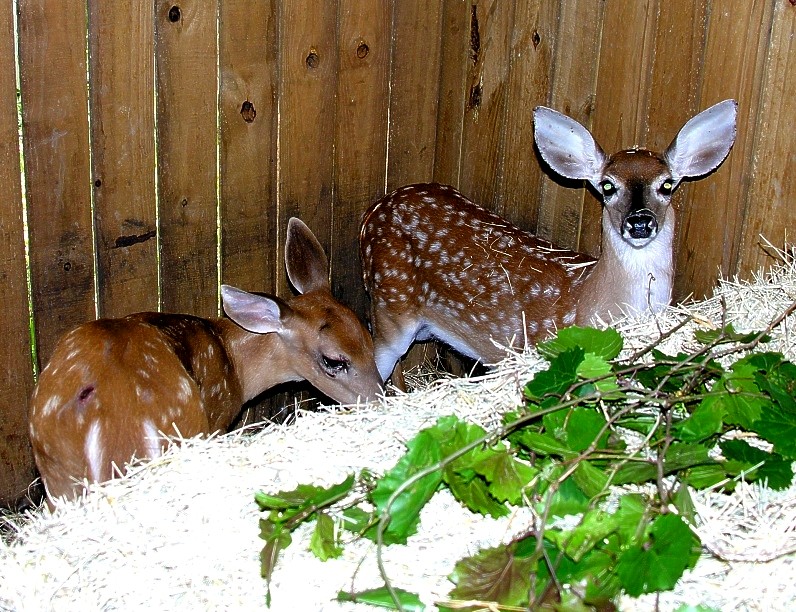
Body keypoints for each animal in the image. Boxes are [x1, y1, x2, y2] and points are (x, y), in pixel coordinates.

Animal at [29, 217, 382, 505]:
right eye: (333, 360)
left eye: (369, 338)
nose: (380, 399)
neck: (234, 363)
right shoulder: (217, 420)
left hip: (56, 475)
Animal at [360, 99, 737, 385]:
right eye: (608, 186)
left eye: (667, 184)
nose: (640, 222)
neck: (589, 298)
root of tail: (374, 211)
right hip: (392, 304)